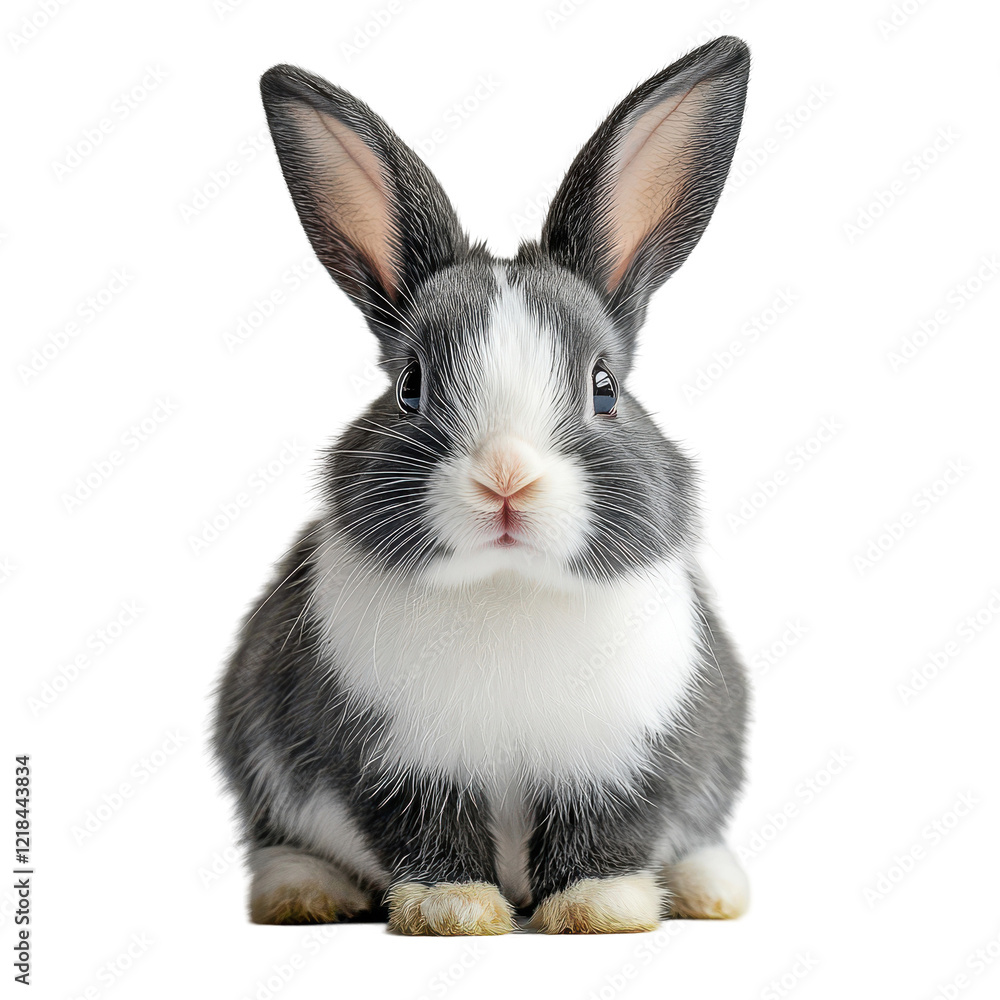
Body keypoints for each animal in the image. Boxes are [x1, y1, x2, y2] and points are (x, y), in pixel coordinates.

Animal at [213, 35, 752, 935]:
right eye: (411, 386)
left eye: (604, 387)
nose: (507, 481)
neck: (508, 587)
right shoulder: (399, 759)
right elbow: (426, 828)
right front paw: (454, 910)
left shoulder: (620, 755)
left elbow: (608, 827)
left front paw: (603, 908)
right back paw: (303, 894)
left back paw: (711, 888)